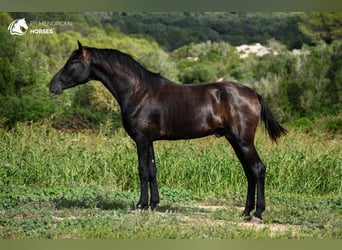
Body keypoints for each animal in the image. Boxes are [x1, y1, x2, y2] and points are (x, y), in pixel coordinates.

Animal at [50, 41, 286, 221]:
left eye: (74, 62)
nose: (52, 86)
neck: (138, 91)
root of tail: (253, 93)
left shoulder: (141, 140)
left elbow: (143, 170)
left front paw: (141, 205)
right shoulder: (150, 141)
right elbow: (153, 170)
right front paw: (153, 204)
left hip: (243, 141)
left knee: (258, 169)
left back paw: (257, 213)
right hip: (235, 140)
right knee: (249, 172)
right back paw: (245, 212)